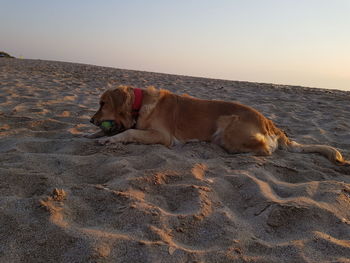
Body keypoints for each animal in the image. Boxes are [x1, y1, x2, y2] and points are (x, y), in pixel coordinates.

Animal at [87, 85, 348, 166]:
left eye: (102, 103)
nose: (90, 120)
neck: (140, 103)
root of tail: (270, 122)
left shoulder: (162, 136)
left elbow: (131, 131)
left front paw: (108, 139)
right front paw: (93, 135)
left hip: (227, 125)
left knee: (265, 150)